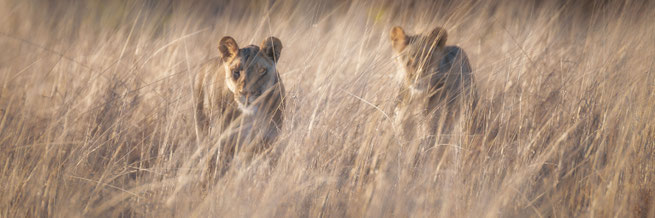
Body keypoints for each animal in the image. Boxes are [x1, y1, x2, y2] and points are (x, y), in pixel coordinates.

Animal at [195, 35, 288, 169]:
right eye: (236, 72)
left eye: (261, 71)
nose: (246, 93)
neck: (250, 115)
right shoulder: (225, 139)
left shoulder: (269, 138)